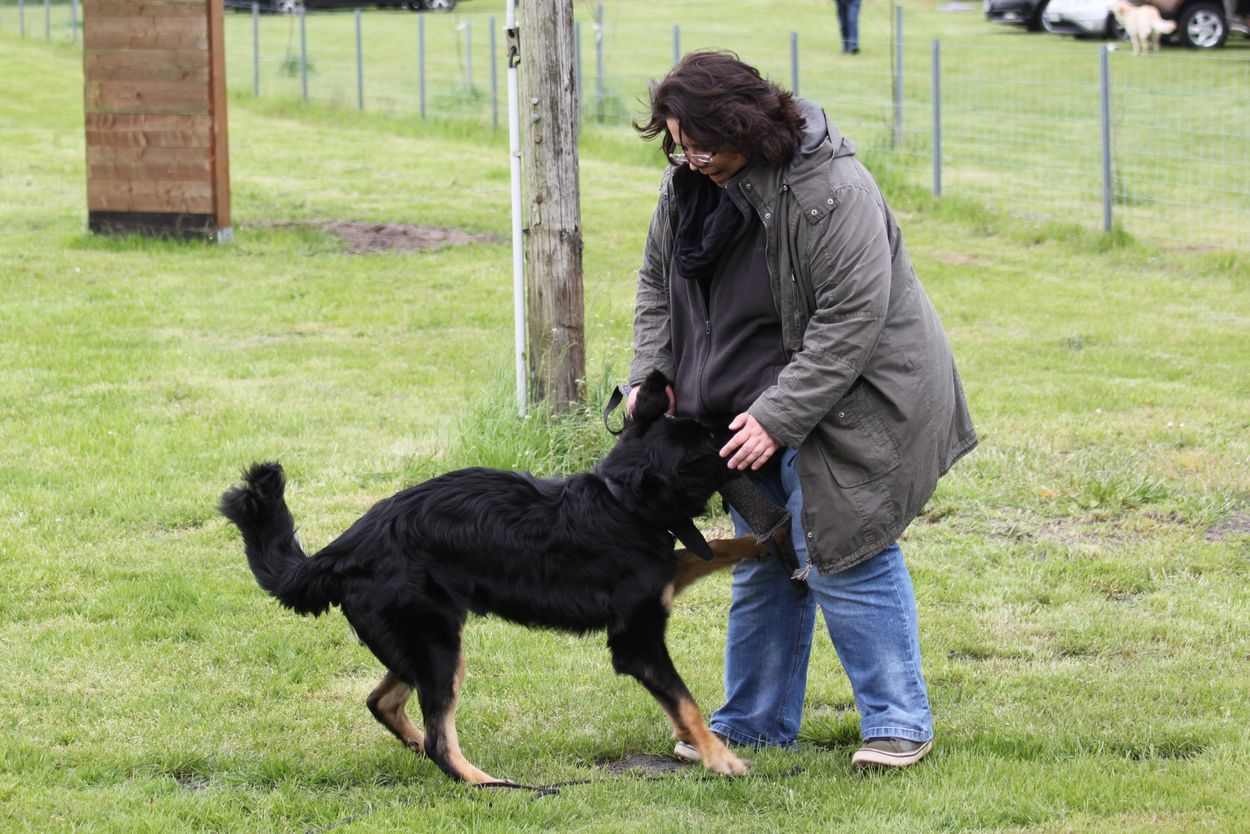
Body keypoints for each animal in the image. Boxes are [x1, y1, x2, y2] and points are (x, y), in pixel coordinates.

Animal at [219, 370, 764, 784]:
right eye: (708, 442)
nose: (740, 423)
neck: (621, 503)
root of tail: (345, 548)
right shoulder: (637, 641)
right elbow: (686, 704)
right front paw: (721, 759)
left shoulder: (664, 578)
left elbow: (714, 550)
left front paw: (768, 542)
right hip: (438, 646)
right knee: (439, 738)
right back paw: (485, 782)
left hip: (423, 645)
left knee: (383, 702)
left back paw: (420, 747)